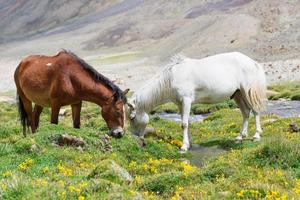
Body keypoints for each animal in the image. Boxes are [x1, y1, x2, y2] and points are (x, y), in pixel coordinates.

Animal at [126, 52, 268, 152]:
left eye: (132, 118)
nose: (135, 138)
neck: (172, 77)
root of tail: (252, 62)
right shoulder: (180, 103)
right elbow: (186, 122)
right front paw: (189, 144)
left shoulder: (186, 100)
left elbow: (184, 124)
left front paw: (184, 146)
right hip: (237, 94)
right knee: (245, 112)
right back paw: (240, 136)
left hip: (247, 92)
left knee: (255, 110)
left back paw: (256, 136)